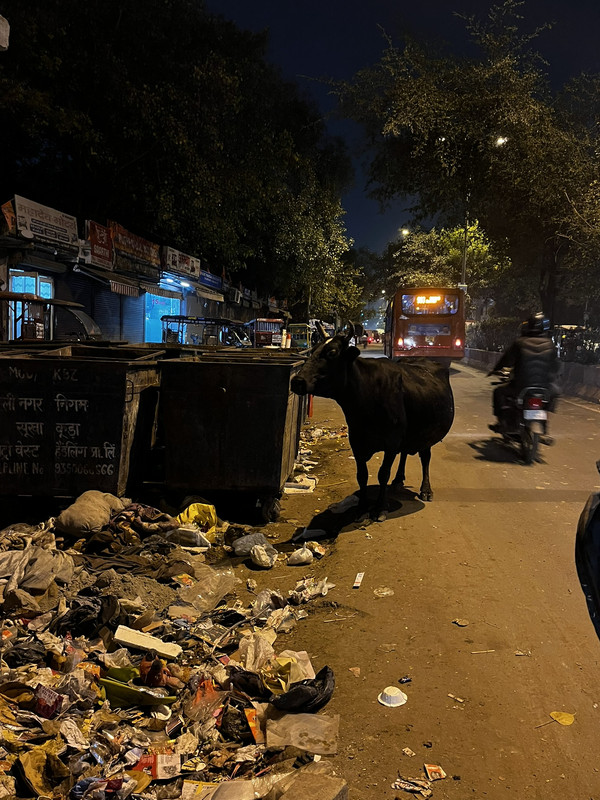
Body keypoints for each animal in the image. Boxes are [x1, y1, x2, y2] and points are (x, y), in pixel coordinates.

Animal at [290, 324, 454, 520]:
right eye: (314, 349)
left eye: (332, 352)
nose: (297, 381)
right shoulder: (356, 439)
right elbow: (362, 475)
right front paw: (362, 507)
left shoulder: (391, 441)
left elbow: (383, 473)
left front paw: (380, 507)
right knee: (405, 453)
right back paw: (398, 480)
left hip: (426, 434)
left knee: (425, 457)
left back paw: (426, 490)